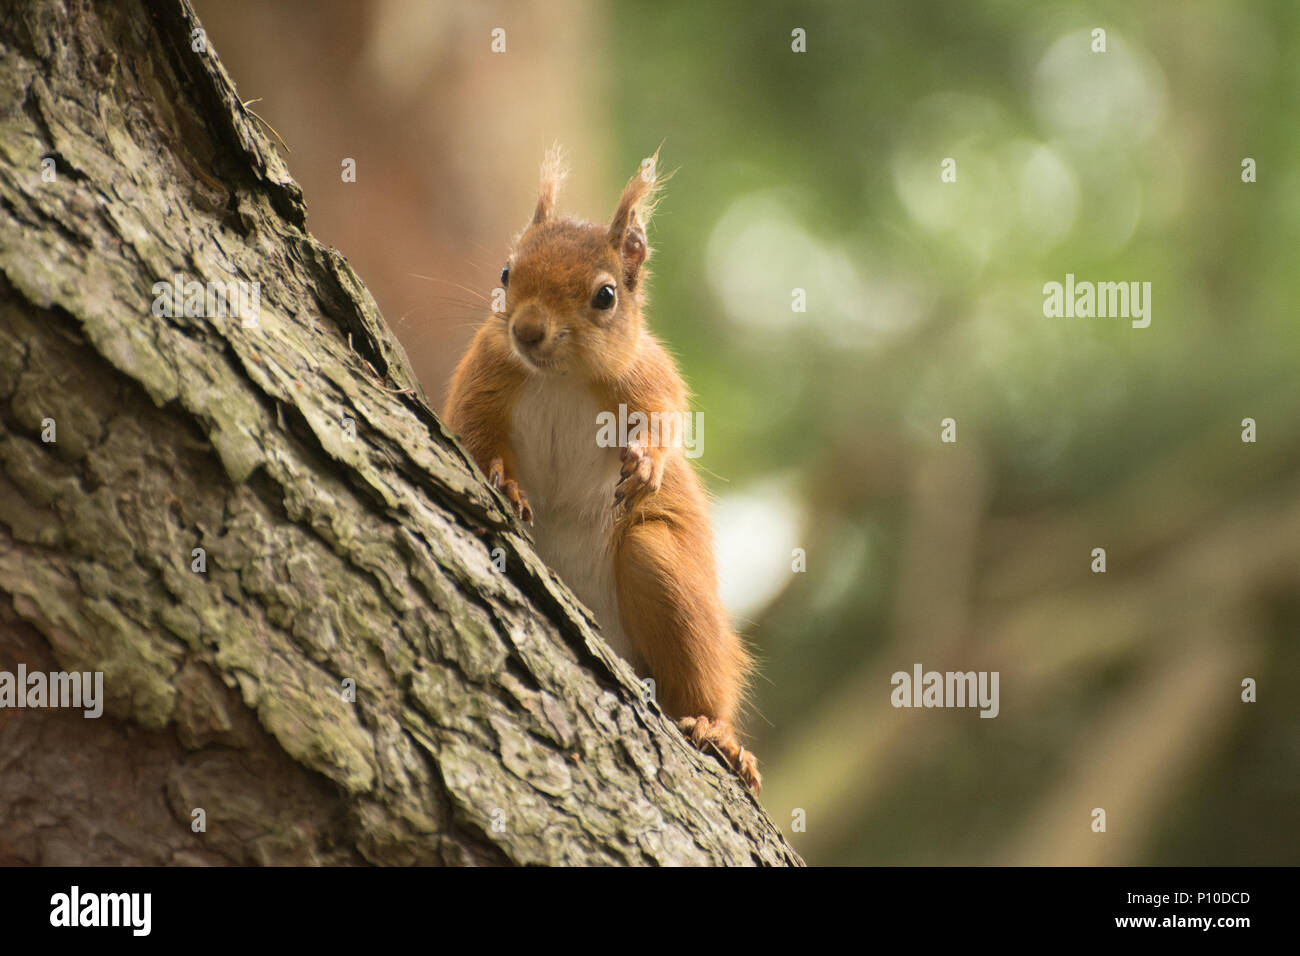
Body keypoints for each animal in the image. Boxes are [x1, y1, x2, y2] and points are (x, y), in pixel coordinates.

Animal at [444, 149, 759, 790]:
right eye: (506, 273)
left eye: (606, 296)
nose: (527, 330)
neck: (559, 377)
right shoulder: (483, 375)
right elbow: (472, 432)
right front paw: (504, 482)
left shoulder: (648, 376)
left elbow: (665, 420)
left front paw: (648, 465)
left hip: (659, 566)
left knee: (701, 682)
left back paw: (715, 731)